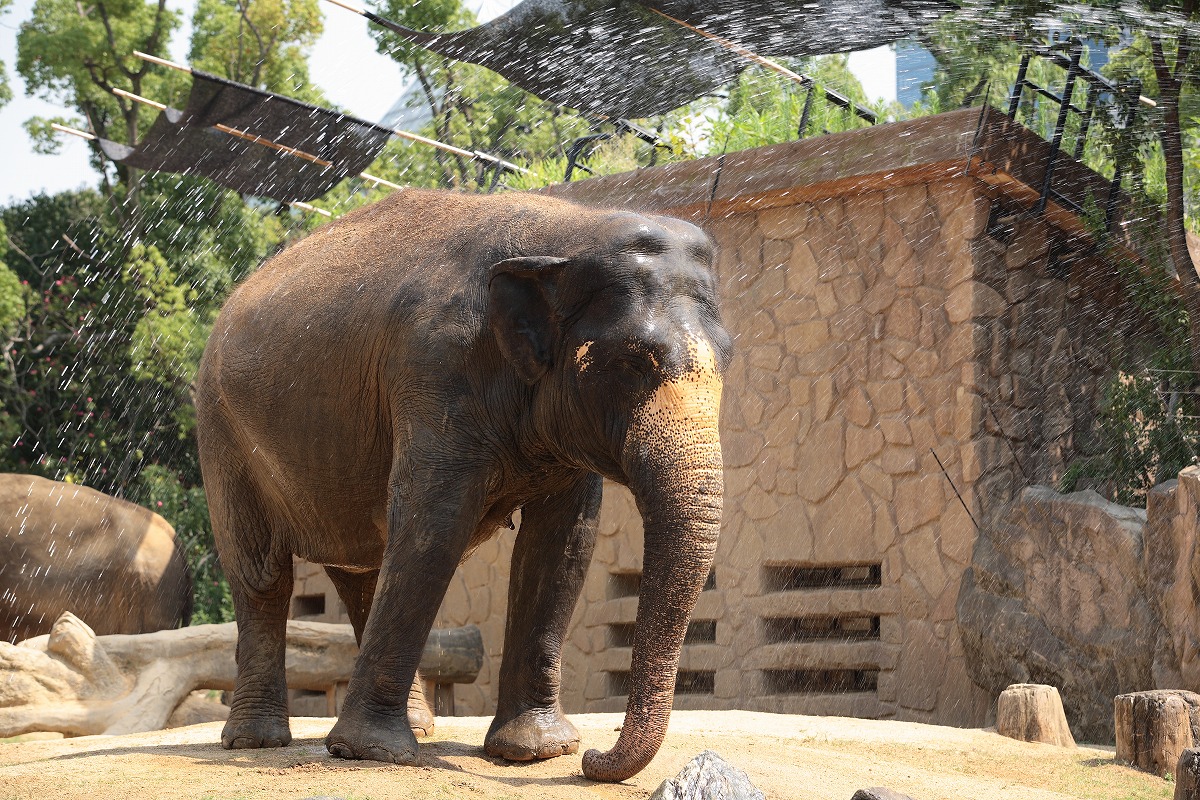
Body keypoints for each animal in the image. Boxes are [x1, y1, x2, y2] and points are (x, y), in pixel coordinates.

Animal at [194, 188, 729, 782]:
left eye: (728, 359)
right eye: (635, 362)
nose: (593, 758)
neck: (570, 230)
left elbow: (563, 543)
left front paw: (537, 751)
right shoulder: (436, 371)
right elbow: (436, 523)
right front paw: (374, 754)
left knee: (364, 572)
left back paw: (418, 725)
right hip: (221, 432)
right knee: (263, 575)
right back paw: (255, 741)